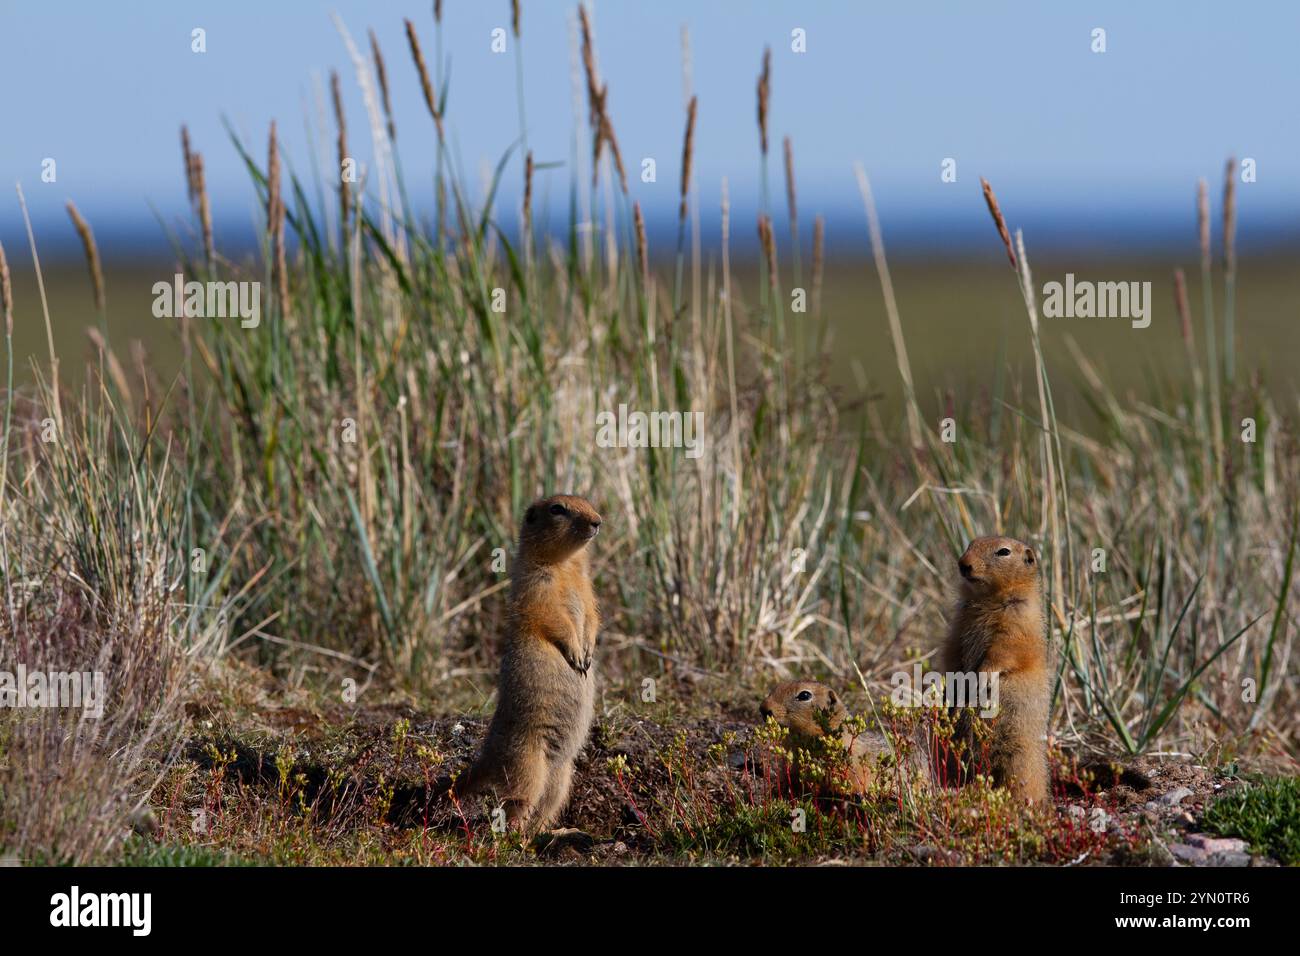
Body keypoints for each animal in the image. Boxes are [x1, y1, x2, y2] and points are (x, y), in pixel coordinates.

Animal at [453, 494, 602, 834]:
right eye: (558, 509)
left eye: (587, 501)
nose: (598, 521)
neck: (565, 565)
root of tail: (487, 756)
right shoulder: (536, 586)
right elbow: (552, 618)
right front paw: (577, 654)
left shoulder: (587, 589)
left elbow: (591, 614)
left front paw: (587, 652)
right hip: (527, 765)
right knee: (516, 805)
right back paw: (515, 836)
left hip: (562, 776)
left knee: (544, 810)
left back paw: (557, 831)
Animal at [937, 535, 1050, 803]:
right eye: (971, 544)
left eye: (1003, 552)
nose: (963, 564)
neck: (987, 598)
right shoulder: (957, 626)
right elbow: (951, 651)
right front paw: (952, 684)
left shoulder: (1018, 625)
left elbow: (1003, 651)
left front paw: (981, 678)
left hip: (1018, 757)